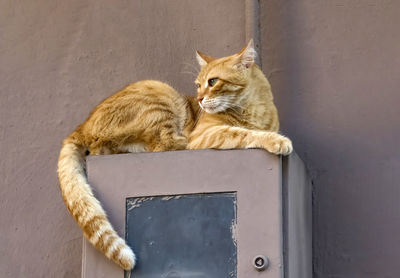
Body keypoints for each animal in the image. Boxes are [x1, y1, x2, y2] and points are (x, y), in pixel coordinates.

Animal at [57, 39, 290, 270]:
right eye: (198, 85)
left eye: (213, 81)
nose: (199, 99)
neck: (254, 109)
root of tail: (82, 126)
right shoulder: (204, 135)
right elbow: (243, 133)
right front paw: (277, 140)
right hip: (161, 93)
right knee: (161, 144)